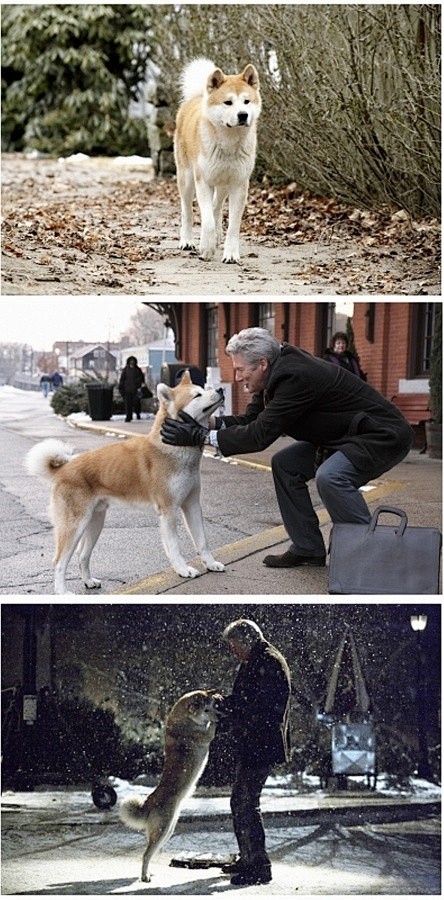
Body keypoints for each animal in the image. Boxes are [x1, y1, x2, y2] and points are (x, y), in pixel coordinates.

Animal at [25, 370, 225, 596]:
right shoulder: (168, 510)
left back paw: (88, 581)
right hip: (74, 525)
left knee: (82, 555)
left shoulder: (192, 505)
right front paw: (183, 569)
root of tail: (64, 468)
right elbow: (175, 546)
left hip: (95, 522)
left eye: (204, 389)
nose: (220, 389)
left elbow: (203, 541)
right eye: (197, 395)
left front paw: (210, 563)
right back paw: (62, 592)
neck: (174, 448)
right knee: (59, 561)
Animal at [120, 692, 219, 884]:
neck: (184, 720)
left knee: (150, 853)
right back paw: (145, 876)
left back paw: (149, 873)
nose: (215, 694)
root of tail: (147, 804)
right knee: (146, 855)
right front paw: (216, 719)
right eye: (205, 705)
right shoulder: (204, 735)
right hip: (162, 830)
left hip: (167, 831)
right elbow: (210, 727)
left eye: (206, 694)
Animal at [175, 58, 262, 264]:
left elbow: (233, 225)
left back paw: (217, 236)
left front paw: (230, 253)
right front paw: (206, 248)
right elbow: (206, 220)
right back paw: (187, 240)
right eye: (228, 102)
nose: (243, 115)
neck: (229, 143)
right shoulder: (203, 182)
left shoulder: (239, 184)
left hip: (223, 184)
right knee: (187, 211)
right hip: (187, 179)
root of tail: (197, 97)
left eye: (246, 101)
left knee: (216, 206)